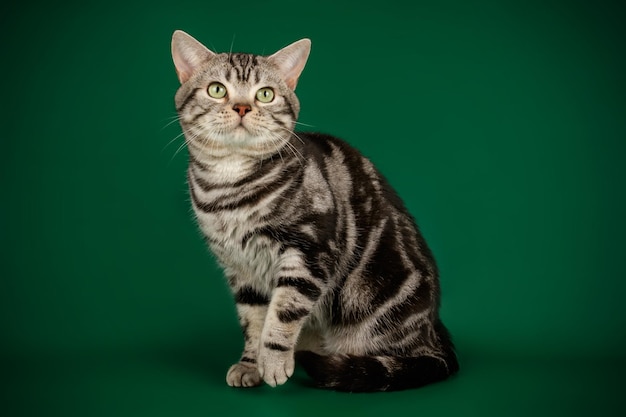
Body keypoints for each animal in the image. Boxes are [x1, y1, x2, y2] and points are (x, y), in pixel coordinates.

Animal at [171, 30, 458, 390]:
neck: (228, 187)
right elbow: (253, 321)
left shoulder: (309, 251)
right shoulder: (240, 268)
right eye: (217, 89)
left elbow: (282, 314)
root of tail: (434, 329)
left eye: (265, 94)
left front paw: (274, 361)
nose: (242, 107)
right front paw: (251, 364)